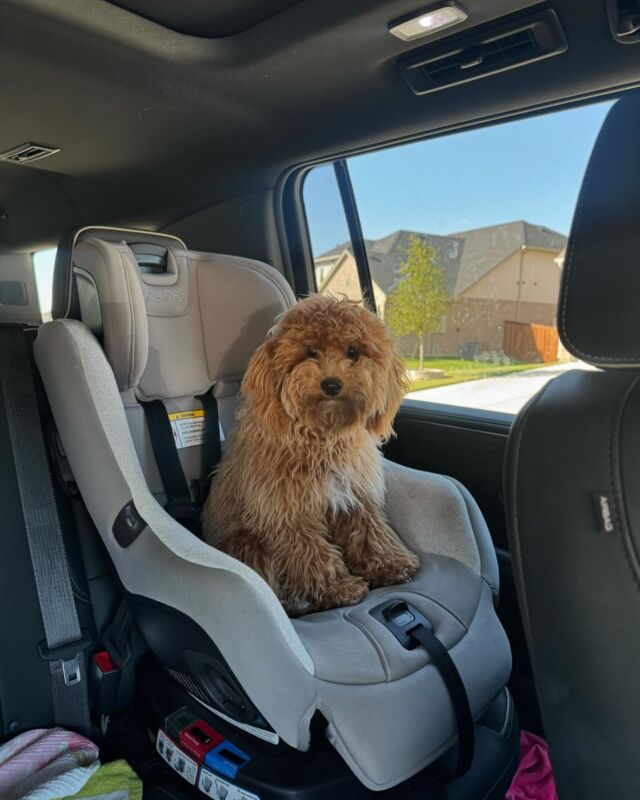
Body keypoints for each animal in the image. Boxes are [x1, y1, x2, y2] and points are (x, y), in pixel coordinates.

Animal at [201, 294, 420, 612]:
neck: (321, 436)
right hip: (247, 543)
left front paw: (389, 564)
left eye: (353, 351)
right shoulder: (288, 511)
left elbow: (370, 530)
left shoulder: (355, 494)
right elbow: (309, 551)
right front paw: (334, 588)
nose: (331, 384)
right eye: (310, 352)